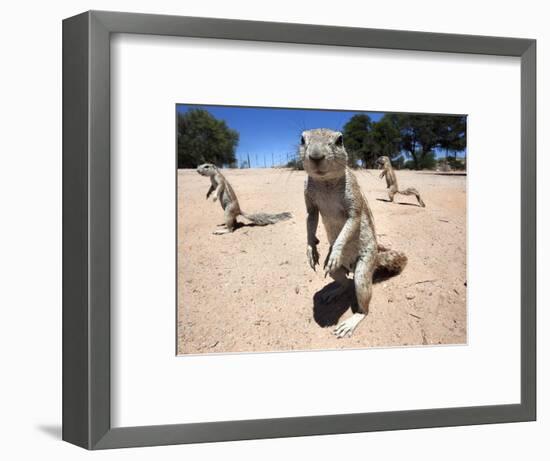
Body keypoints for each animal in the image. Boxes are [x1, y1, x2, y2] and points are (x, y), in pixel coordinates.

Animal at [302, 127, 410, 336]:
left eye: (339, 140)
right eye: (302, 140)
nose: (316, 155)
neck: (325, 182)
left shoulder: (353, 198)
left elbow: (352, 221)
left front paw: (336, 251)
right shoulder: (309, 200)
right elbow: (310, 220)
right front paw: (311, 249)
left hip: (363, 271)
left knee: (363, 305)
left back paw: (352, 321)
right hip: (336, 272)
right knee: (345, 282)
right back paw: (334, 291)